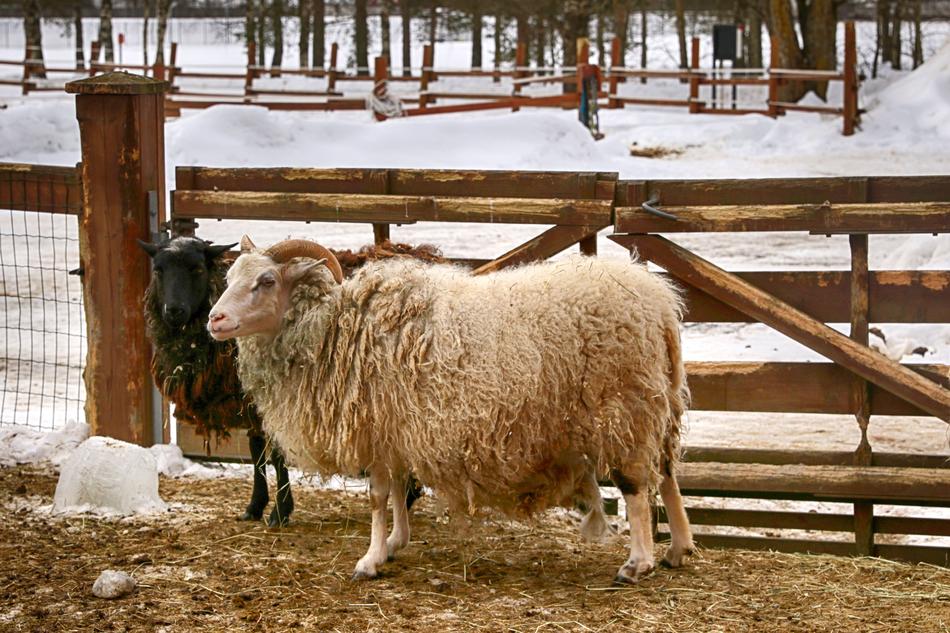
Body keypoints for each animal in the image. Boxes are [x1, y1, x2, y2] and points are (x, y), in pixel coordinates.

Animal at [139, 236, 438, 526]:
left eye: (197, 269)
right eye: (158, 270)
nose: (174, 311)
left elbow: (275, 454)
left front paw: (279, 512)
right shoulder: (255, 401)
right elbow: (256, 450)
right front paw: (256, 506)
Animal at [207, 236, 694, 584]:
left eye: (266, 281)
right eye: (230, 277)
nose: (214, 320)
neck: (335, 330)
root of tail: (661, 304)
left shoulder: (376, 424)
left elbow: (378, 497)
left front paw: (369, 560)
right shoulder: (396, 428)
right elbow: (398, 491)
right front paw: (395, 543)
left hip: (625, 406)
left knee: (635, 486)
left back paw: (637, 564)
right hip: (659, 402)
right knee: (668, 473)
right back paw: (678, 550)